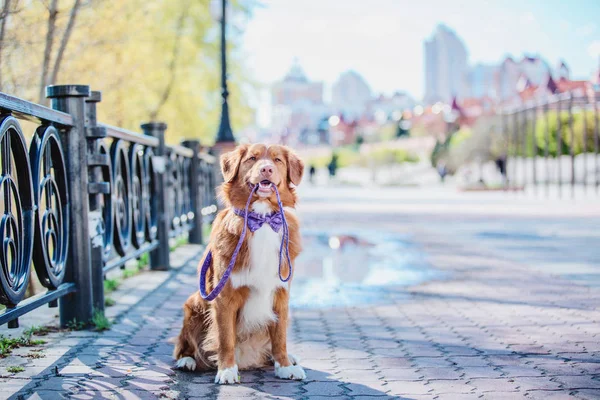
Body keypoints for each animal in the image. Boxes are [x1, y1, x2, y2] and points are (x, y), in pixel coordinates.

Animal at [172, 144, 304, 384]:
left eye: (278, 160)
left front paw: (284, 366)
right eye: (252, 158)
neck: (262, 221)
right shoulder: (224, 297)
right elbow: (226, 338)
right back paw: (187, 360)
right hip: (194, 303)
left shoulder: (281, 294)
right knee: (184, 344)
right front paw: (226, 370)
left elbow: (280, 337)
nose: (266, 169)